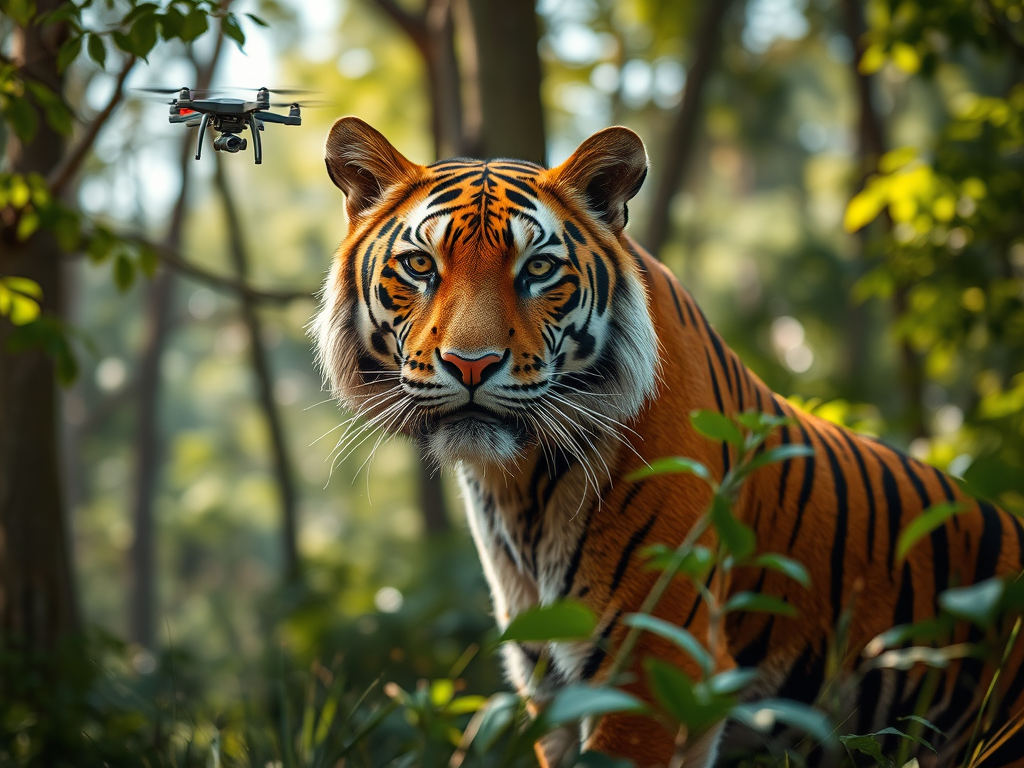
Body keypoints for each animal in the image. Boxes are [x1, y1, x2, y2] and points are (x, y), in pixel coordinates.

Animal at [312, 116, 1024, 768]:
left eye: (538, 268)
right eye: (420, 265)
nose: (470, 365)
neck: (518, 484)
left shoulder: (651, 664)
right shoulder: (550, 679)